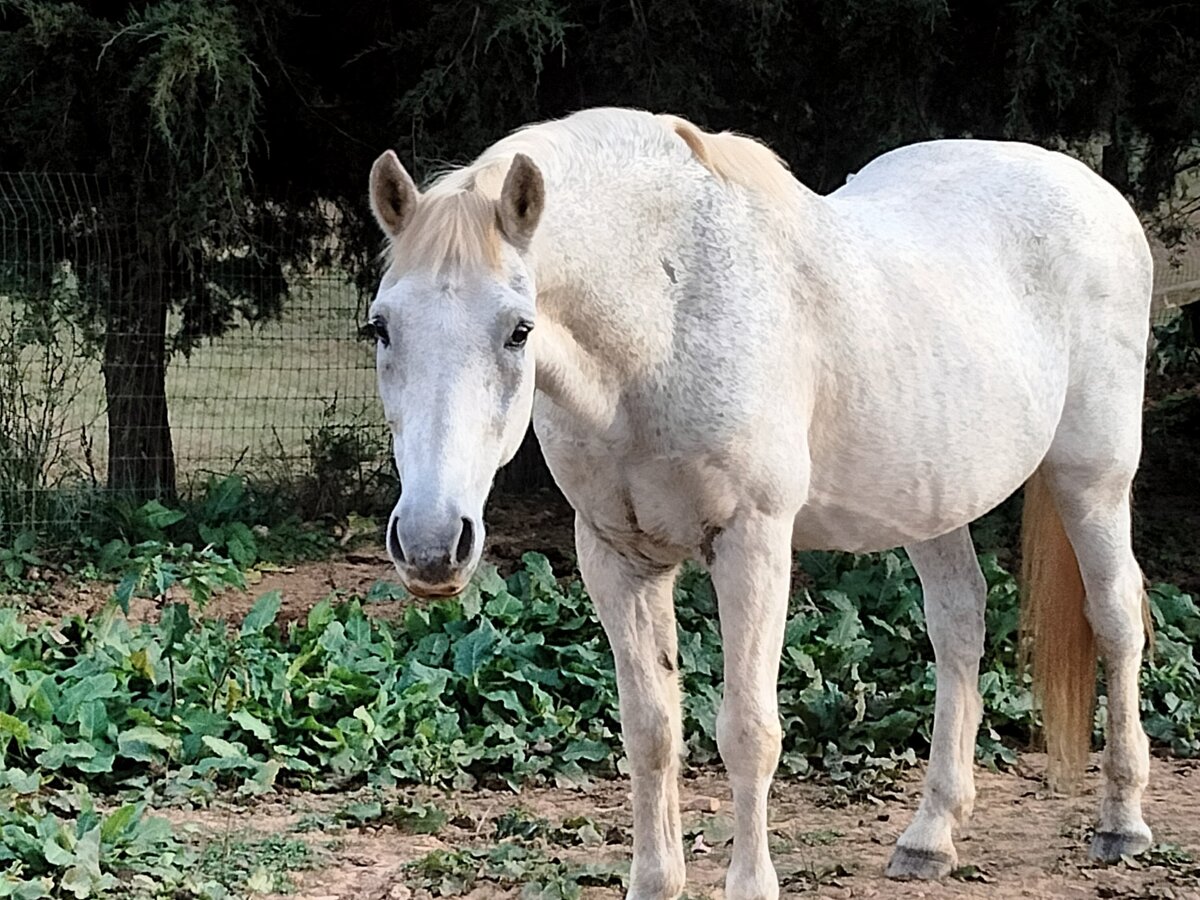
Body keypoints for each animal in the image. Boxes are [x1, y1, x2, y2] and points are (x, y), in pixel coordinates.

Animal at [363, 107, 1154, 900]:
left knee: (1117, 616)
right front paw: (654, 881)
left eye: (519, 329)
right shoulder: (617, 555)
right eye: (381, 327)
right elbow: (650, 730)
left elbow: (747, 731)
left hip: (1093, 477)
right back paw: (930, 836)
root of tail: (1089, 188)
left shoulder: (752, 544)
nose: (432, 543)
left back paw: (1121, 822)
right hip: (932, 500)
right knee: (959, 623)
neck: (669, 318)